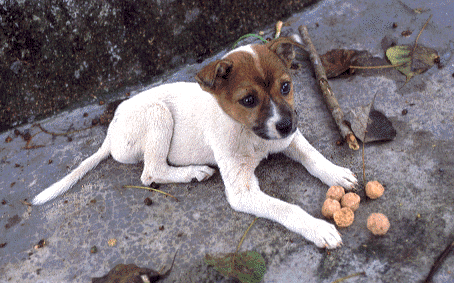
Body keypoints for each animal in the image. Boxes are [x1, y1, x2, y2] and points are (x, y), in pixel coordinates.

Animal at [33, 37, 356, 251]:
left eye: (286, 87)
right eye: (248, 100)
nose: (286, 125)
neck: (249, 134)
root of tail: (110, 133)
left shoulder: (288, 140)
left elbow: (313, 156)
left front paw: (336, 173)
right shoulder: (241, 192)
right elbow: (287, 209)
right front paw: (317, 228)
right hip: (158, 115)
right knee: (150, 172)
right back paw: (194, 172)